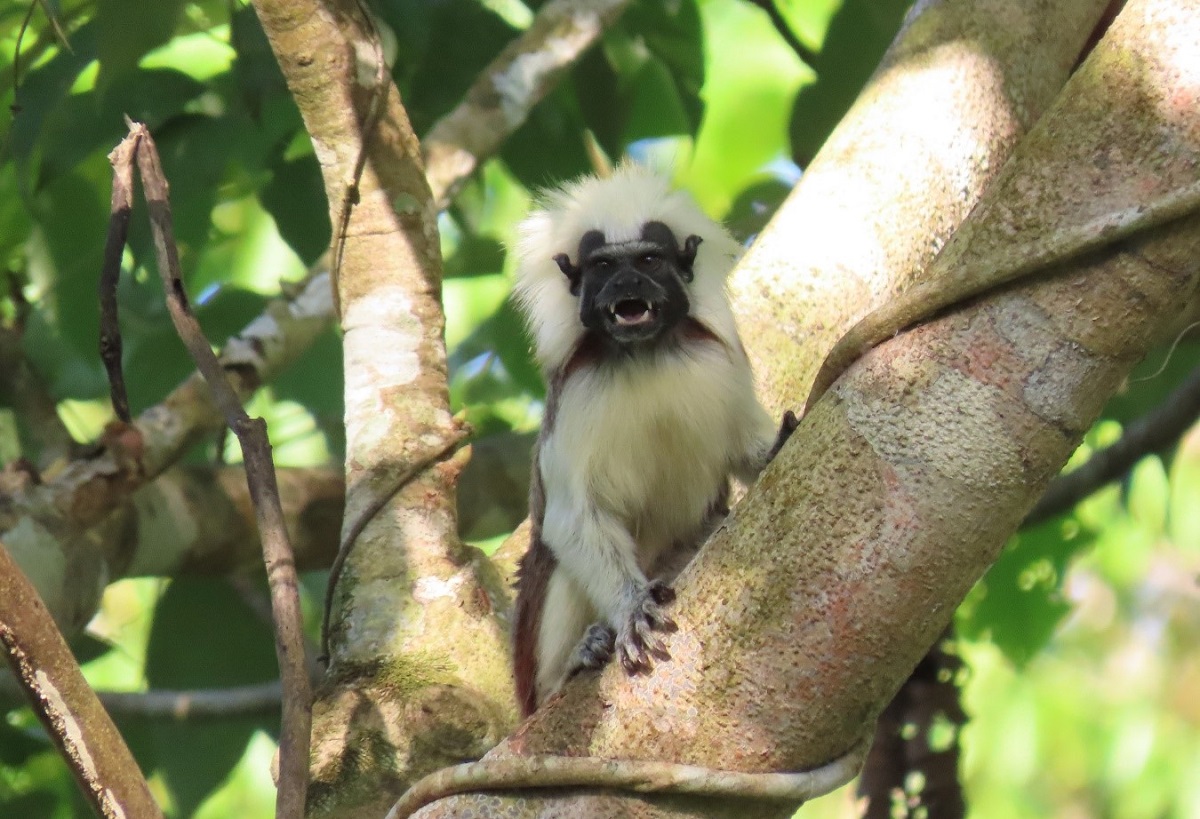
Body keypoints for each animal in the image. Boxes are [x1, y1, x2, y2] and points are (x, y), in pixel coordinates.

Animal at [508, 165, 796, 715]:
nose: (626, 284)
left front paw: (779, 443)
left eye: (647, 260)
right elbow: (574, 518)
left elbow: (747, 450)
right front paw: (631, 609)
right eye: (602, 267)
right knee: (551, 558)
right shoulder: (574, 397)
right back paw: (572, 664)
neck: (645, 356)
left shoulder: (720, 363)